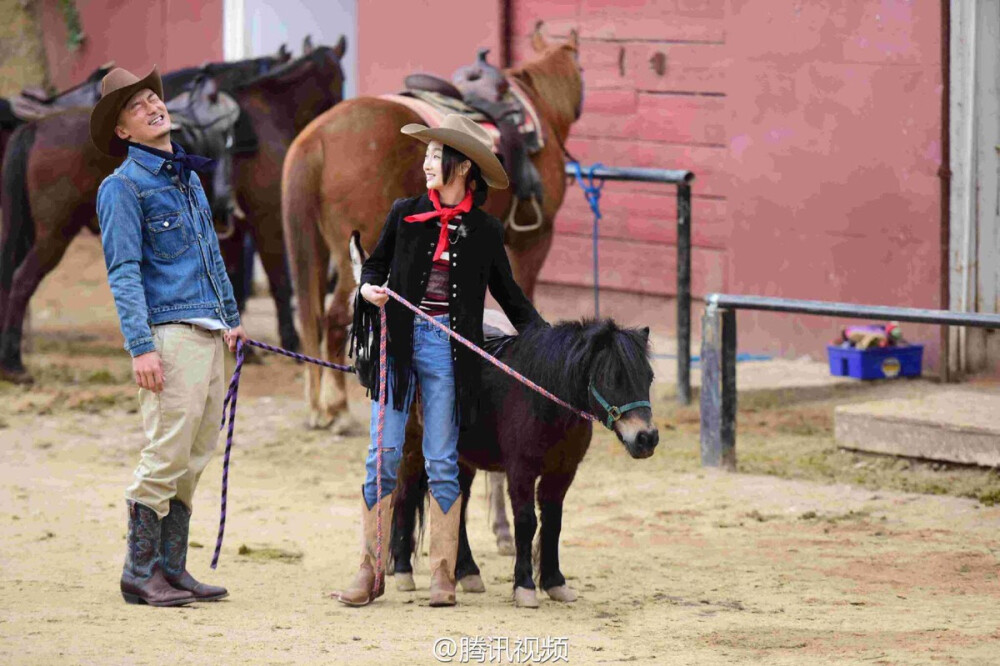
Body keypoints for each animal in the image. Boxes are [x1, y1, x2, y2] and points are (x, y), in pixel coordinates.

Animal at [282, 23, 584, 428]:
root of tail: (317, 137)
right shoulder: (533, 241)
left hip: (317, 247)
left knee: (313, 317)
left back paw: (321, 405)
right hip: (357, 249)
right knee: (336, 317)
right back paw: (340, 409)